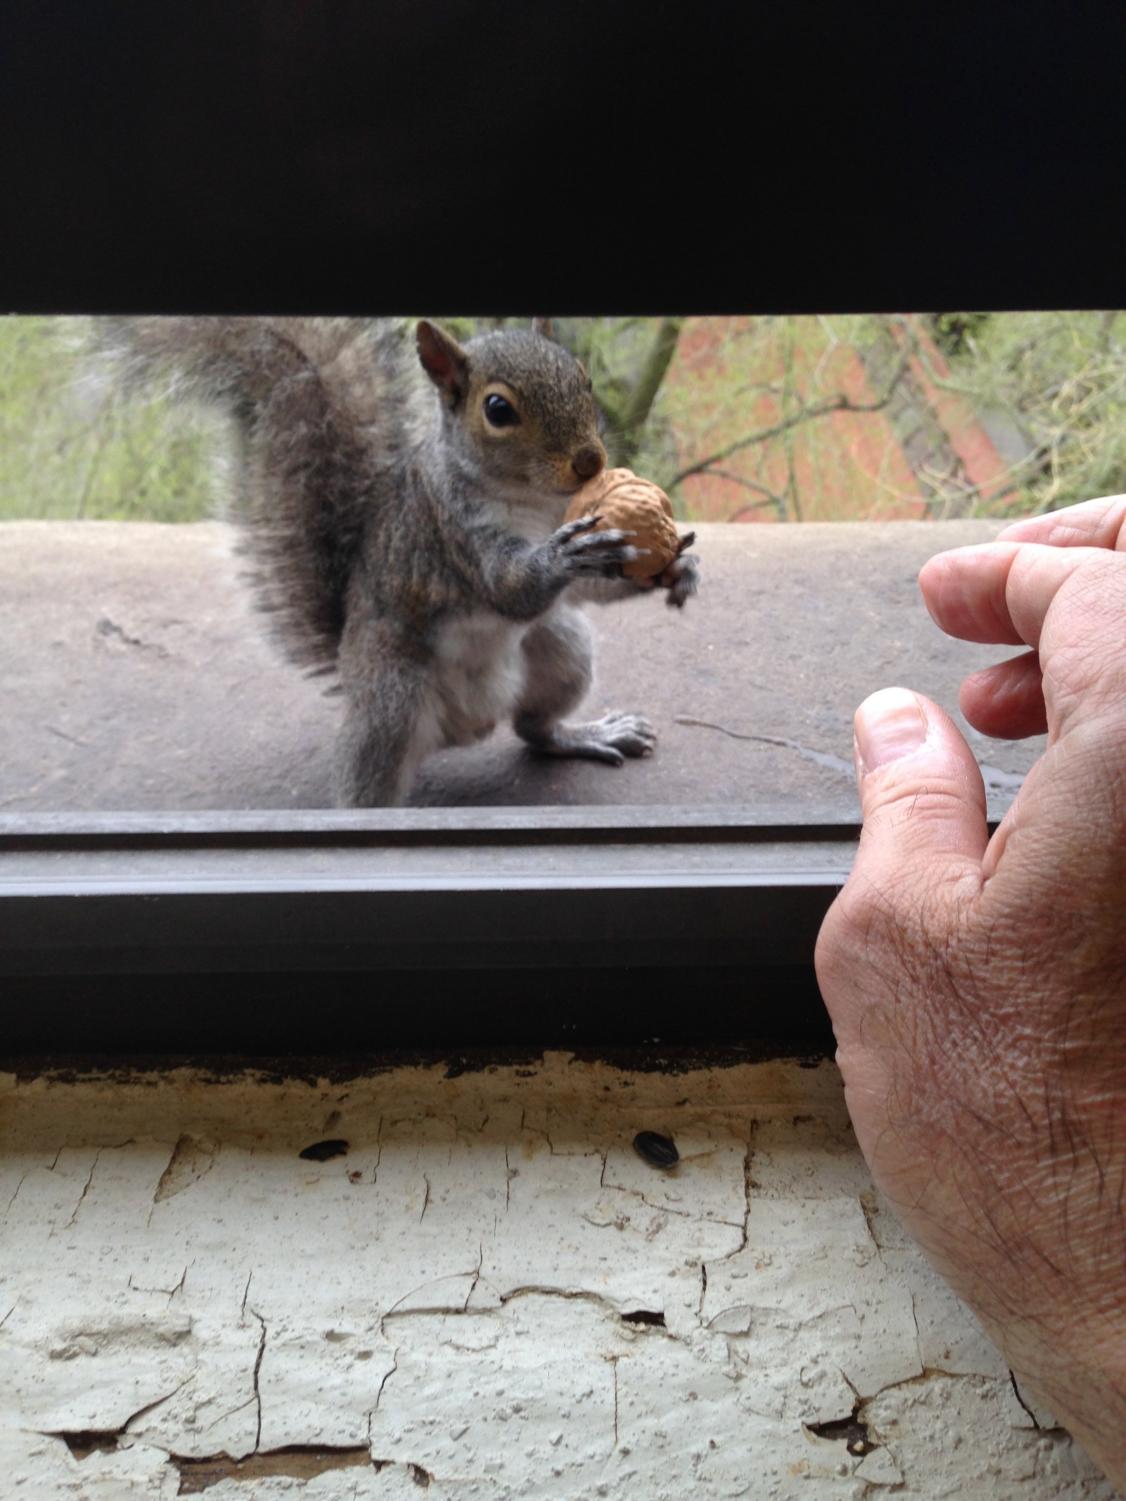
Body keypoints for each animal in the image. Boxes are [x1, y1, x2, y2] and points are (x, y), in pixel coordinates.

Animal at [94, 319, 696, 810]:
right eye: (498, 410)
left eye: (584, 379)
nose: (591, 460)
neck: (530, 500)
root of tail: (468, 726)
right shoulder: (452, 531)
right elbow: (509, 587)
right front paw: (563, 556)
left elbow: (590, 587)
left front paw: (679, 567)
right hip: (392, 698)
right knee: (370, 775)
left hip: (560, 644)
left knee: (533, 728)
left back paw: (587, 735)